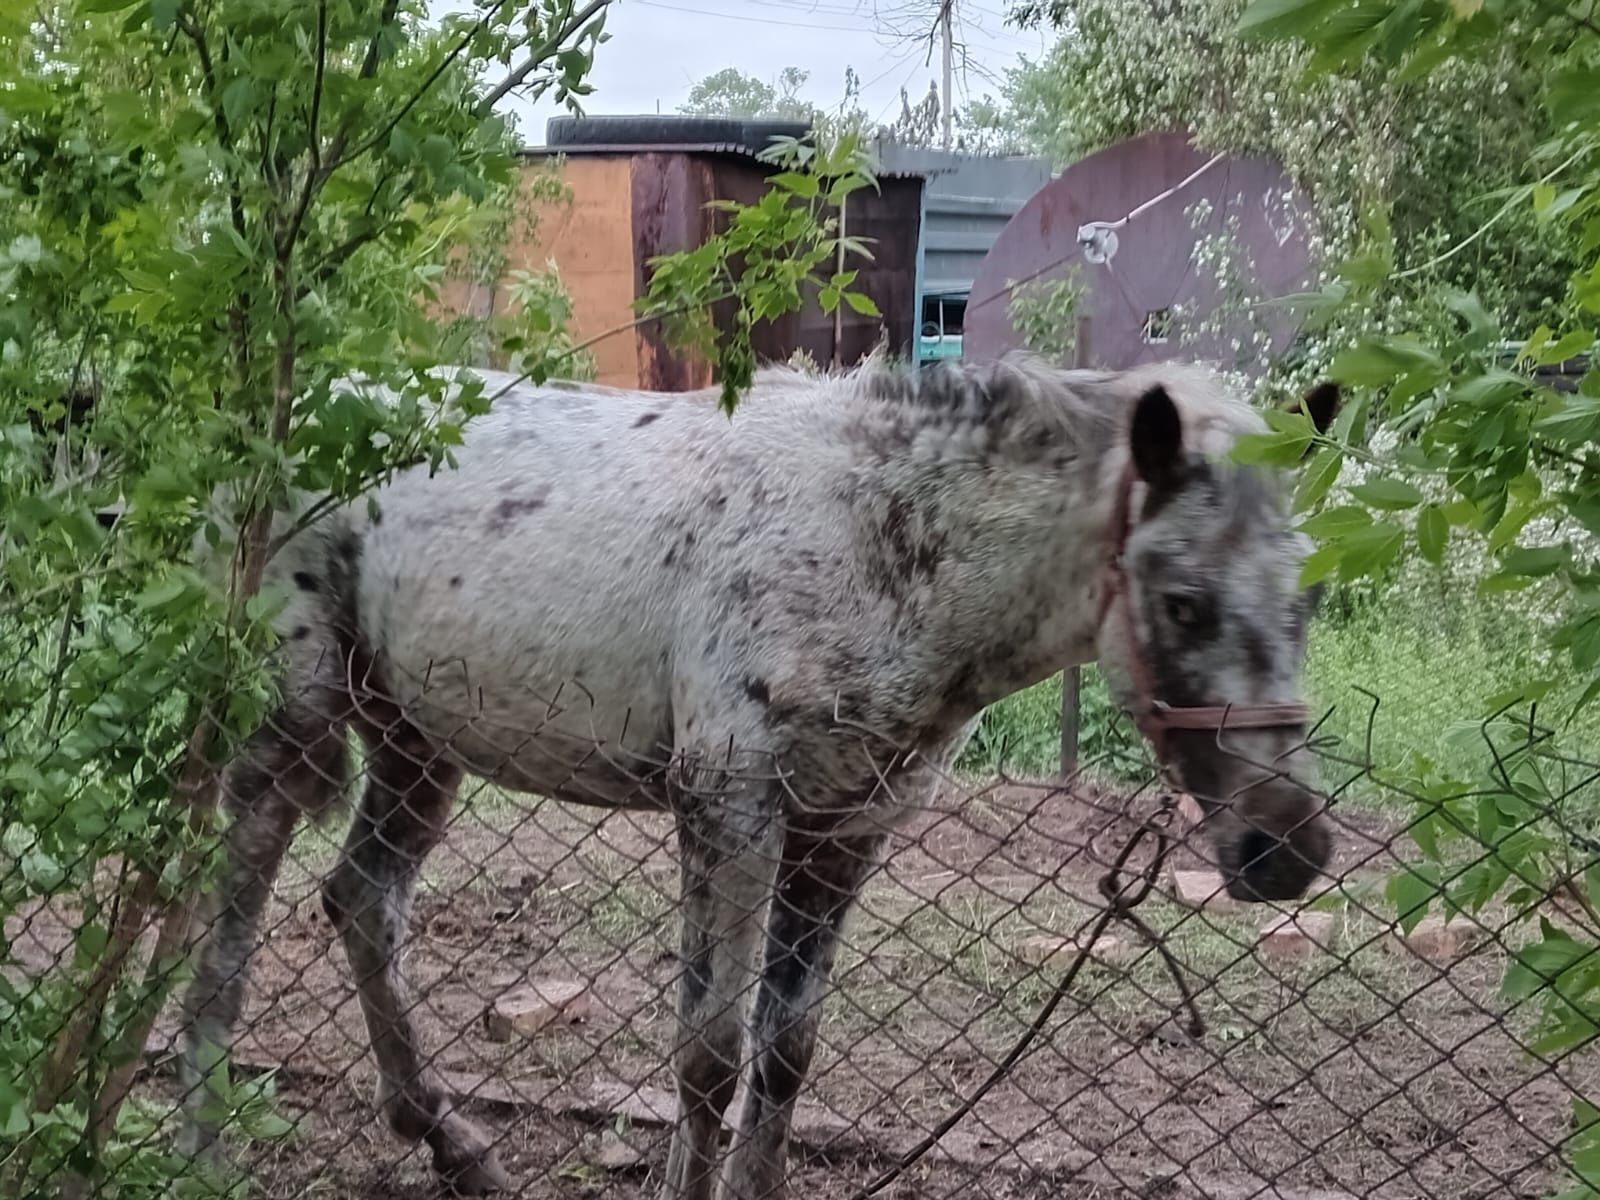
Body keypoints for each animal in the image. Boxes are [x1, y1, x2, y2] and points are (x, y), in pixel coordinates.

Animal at [178, 356, 1337, 1200]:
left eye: (1309, 597)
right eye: (1181, 600)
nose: (1285, 849)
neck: (874, 542)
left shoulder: (844, 825)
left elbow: (786, 1052)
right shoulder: (728, 805)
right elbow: (709, 1055)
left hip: (420, 743)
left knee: (363, 900)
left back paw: (452, 1145)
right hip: (297, 713)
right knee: (239, 885)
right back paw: (203, 1140)